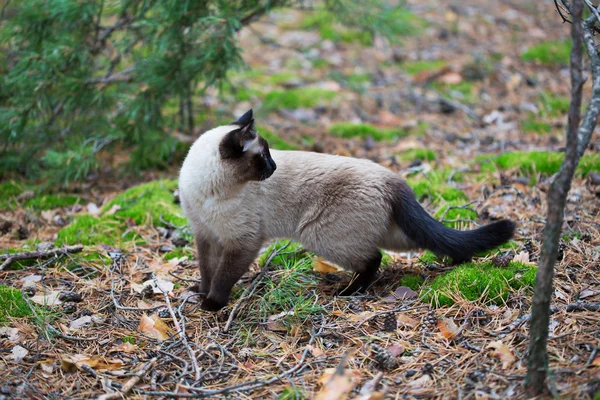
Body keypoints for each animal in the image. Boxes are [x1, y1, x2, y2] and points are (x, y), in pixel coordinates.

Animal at [179, 110, 516, 312]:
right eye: (263, 158)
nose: (273, 168)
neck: (207, 193)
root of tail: (392, 178)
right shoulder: (206, 235)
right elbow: (208, 270)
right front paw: (201, 292)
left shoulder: (242, 242)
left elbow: (224, 275)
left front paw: (212, 304)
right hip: (391, 234)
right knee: (430, 241)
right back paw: (461, 261)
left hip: (321, 235)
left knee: (374, 259)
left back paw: (349, 292)